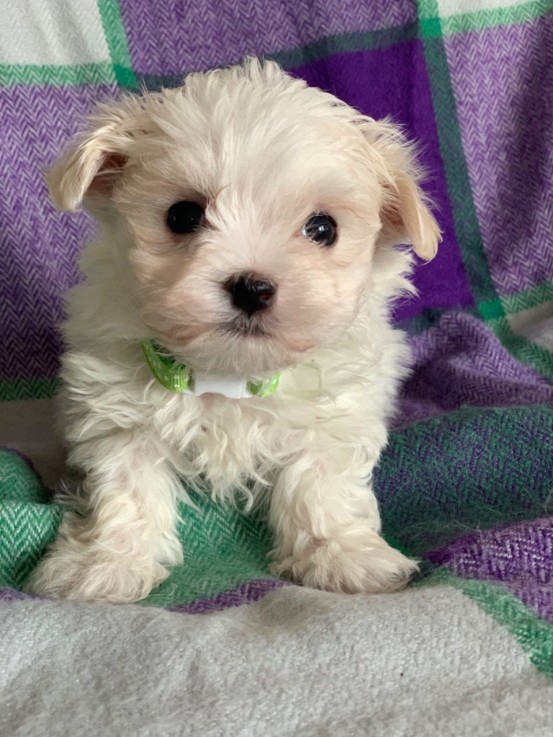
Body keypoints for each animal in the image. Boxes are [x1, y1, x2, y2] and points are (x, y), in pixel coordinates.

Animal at [27, 56, 440, 600]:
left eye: (323, 228)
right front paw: (104, 562)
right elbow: (125, 489)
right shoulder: (117, 416)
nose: (252, 287)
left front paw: (342, 555)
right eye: (182, 215)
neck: (228, 375)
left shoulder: (333, 414)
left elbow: (322, 484)